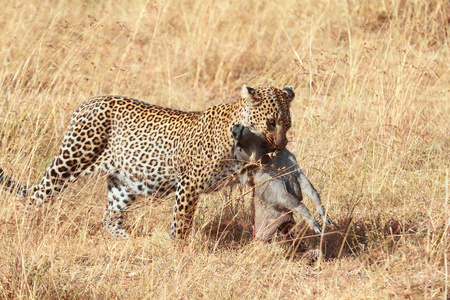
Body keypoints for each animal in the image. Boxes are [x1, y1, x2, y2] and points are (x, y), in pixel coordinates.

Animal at [0, 84, 296, 239]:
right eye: (271, 122)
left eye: (288, 124)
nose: (281, 145)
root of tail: (87, 102)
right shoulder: (189, 183)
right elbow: (181, 221)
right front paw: (179, 251)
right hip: (72, 159)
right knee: (37, 194)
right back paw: (26, 227)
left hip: (123, 183)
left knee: (110, 218)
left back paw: (128, 240)